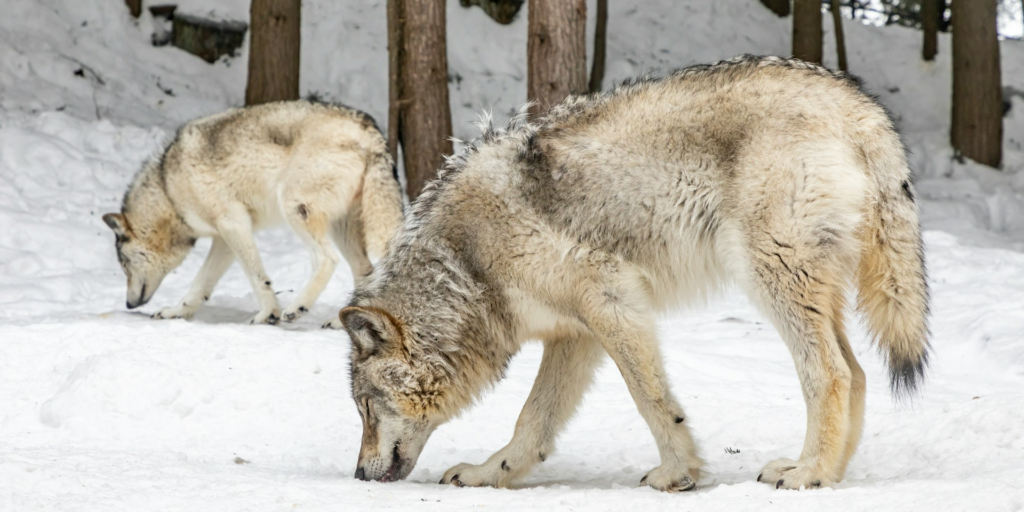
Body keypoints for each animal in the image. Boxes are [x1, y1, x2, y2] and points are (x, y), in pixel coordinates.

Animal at [102, 100, 404, 327]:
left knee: (327, 259)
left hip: (296, 209)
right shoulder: (223, 238)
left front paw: (268, 314)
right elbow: (200, 284)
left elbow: (257, 275)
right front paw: (177, 312)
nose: (128, 303)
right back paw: (341, 321)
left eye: (124, 265)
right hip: (341, 228)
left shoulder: (233, 223)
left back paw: (297, 307)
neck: (168, 189)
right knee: (365, 271)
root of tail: (369, 129)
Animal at [339, 55, 930, 491]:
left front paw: (678, 474)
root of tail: (858, 104)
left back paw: (807, 473)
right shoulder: (575, 334)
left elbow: (651, 399)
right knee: (857, 373)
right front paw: (490, 474)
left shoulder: (612, 301)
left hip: (771, 280)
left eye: (365, 408)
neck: (468, 263)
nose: (359, 475)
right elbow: (533, 420)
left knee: (830, 373)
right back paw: (829, 475)